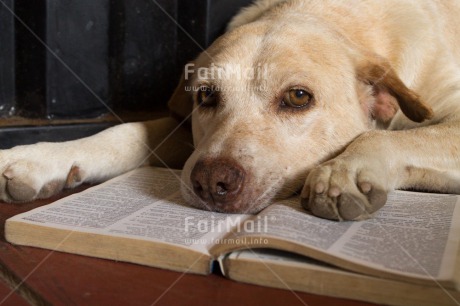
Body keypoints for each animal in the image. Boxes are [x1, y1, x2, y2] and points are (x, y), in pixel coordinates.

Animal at [0, 0, 460, 220]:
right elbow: (127, 131)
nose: (210, 181)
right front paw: (42, 157)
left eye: (298, 97)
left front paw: (343, 171)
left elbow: (376, 135)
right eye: (206, 96)